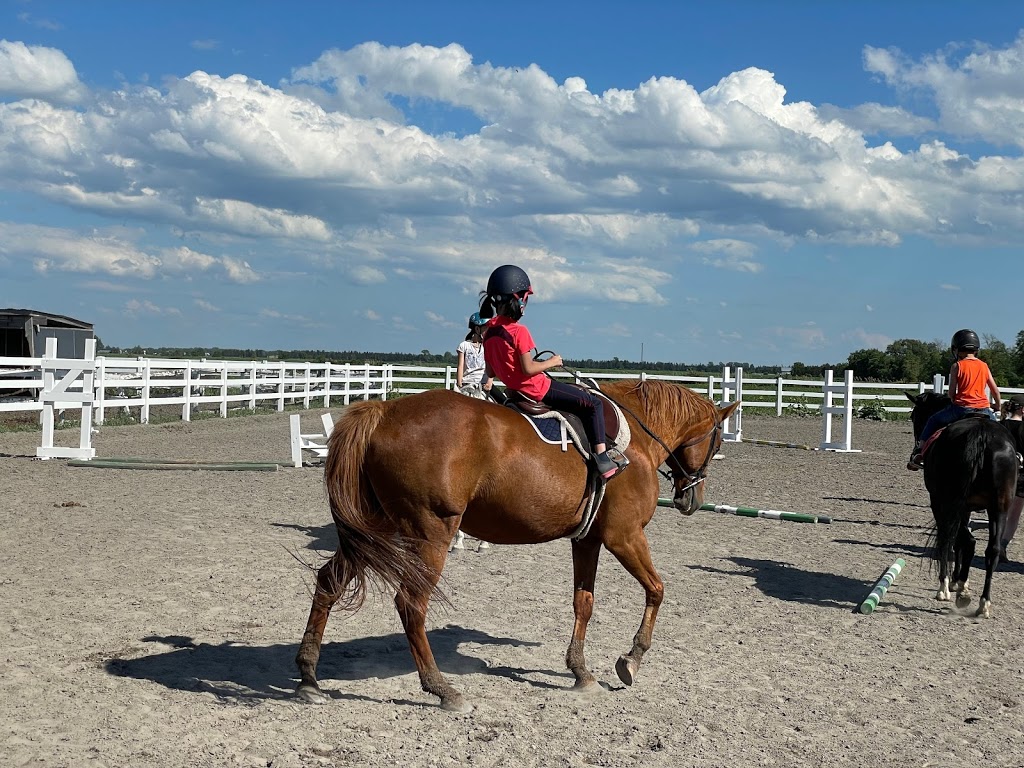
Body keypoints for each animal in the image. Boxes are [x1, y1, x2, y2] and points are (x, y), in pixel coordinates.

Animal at [294, 382, 737, 712]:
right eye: (717, 444)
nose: (692, 500)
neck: (635, 437)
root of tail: (384, 411)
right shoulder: (624, 536)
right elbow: (657, 590)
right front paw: (632, 659)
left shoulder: (588, 539)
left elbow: (584, 602)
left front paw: (580, 672)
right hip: (430, 533)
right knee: (411, 604)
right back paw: (442, 689)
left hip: (372, 531)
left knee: (329, 582)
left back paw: (309, 678)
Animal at [905, 393, 1015, 618]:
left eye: (914, 416)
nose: (915, 451)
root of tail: (982, 435)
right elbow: (964, 543)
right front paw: (960, 582)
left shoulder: (940, 503)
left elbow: (954, 540)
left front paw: (955, 583)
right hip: (999, 508)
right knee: (992, 550)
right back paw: (983, 603)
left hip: (951, 502)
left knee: (955, 539)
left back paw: (946, 589)